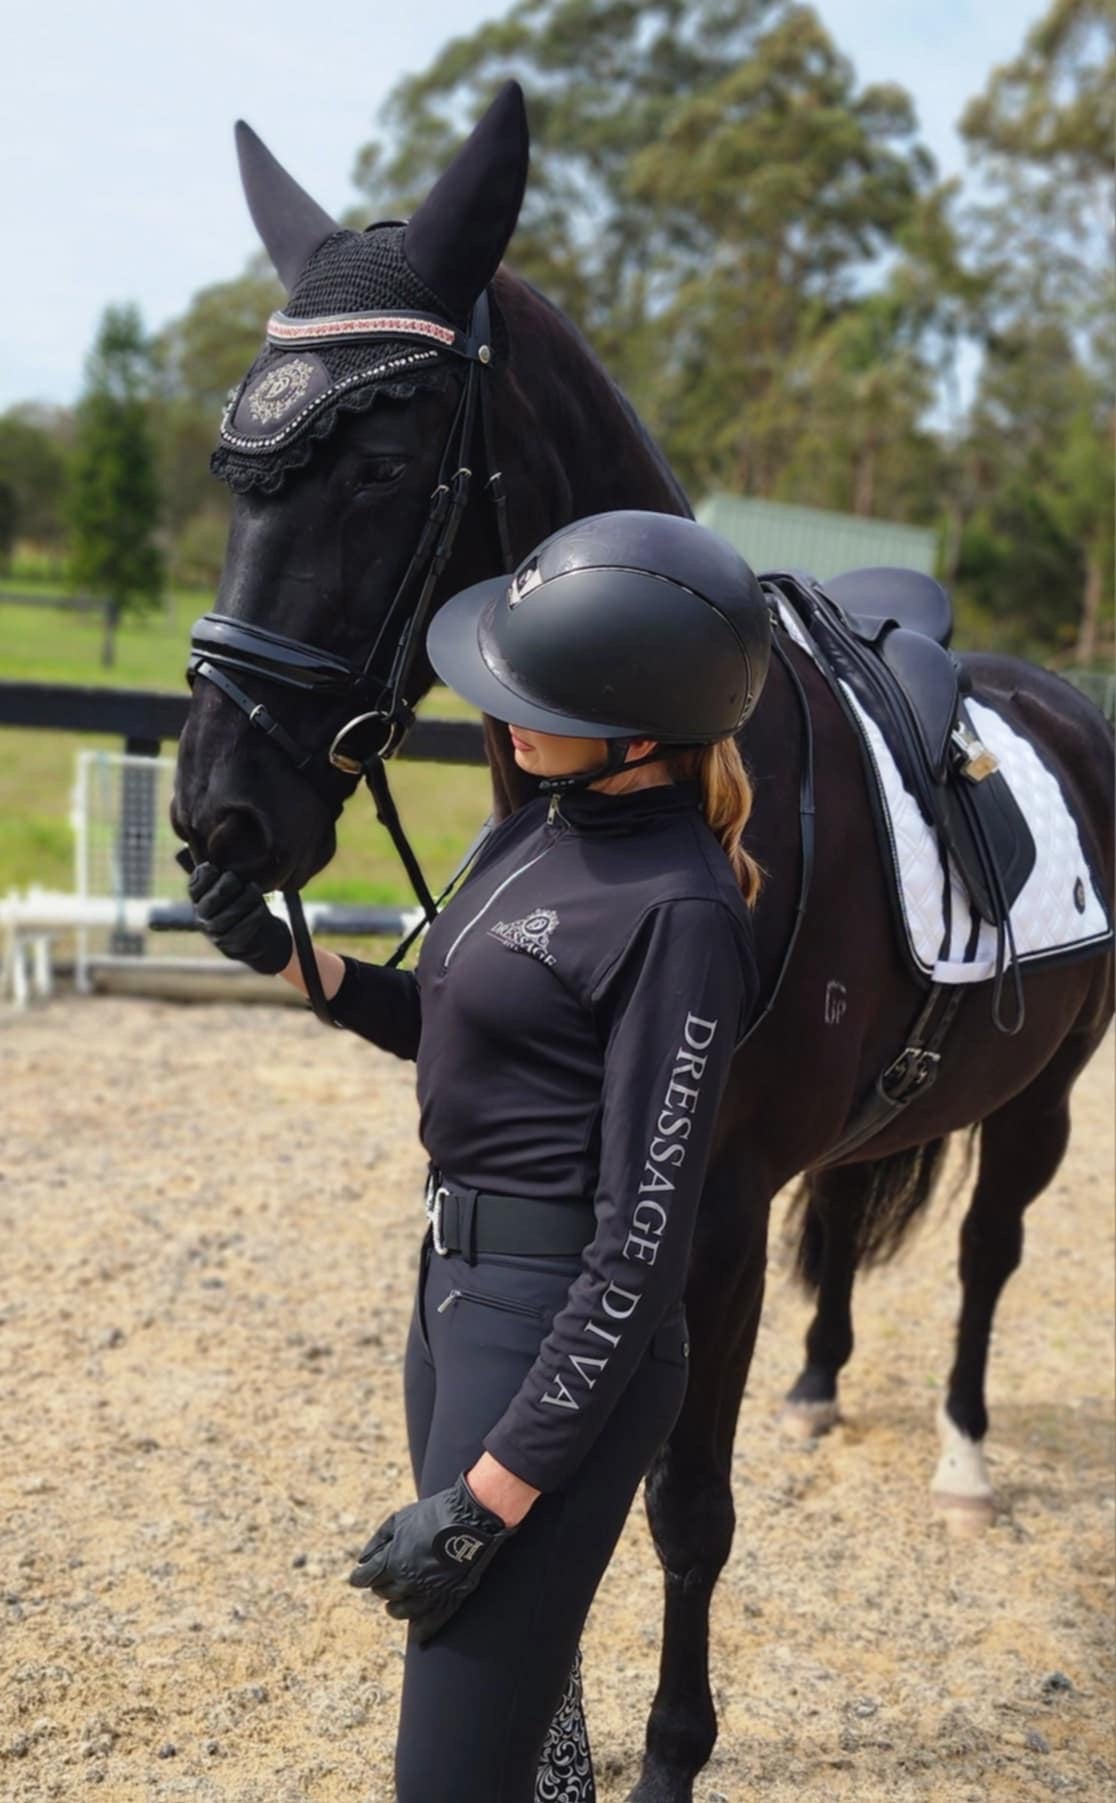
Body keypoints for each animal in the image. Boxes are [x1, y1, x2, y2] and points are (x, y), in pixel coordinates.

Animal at [172, 83, 1114, 1803]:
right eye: (234, 468)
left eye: (382, 457)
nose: (222, 810)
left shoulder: (709, 1211)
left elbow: (680, 1508)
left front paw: (672, 1755)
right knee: (860, 1219)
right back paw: (821, 1386)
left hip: (1046, 1098)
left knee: (988, 1252)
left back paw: (961, 1457)